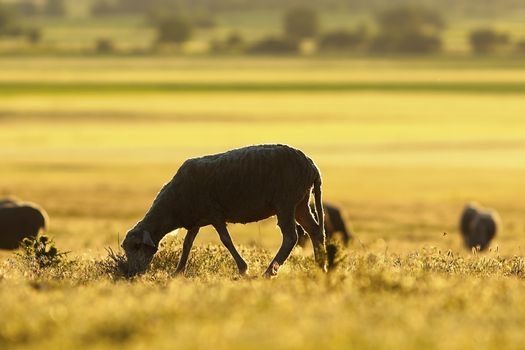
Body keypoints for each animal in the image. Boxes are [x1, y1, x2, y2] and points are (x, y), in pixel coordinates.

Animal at [124, 144, 328, 276]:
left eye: (136, 246)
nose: (129, 273)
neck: (173, 205)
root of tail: (311, 166)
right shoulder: (195, 221)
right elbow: (187, 244)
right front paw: (178, 272)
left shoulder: (215, 213)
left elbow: (226, 240)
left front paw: (243, 269)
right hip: (300, 203)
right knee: (315, 231)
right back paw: (321, 267)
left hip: (286, 202)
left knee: (291, 237)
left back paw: (269, 271)